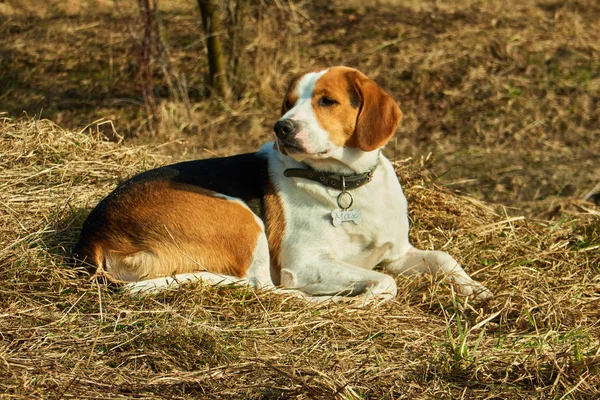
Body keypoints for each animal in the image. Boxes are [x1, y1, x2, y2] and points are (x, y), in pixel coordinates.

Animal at [74, 66, 492, 300]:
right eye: (288, 103)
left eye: (327, 101)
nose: (282, 128)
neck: (344, 185)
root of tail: (93, 236)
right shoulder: (305, 264)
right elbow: (384, 283)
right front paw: (357, 297)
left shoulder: (397, 253)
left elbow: (443, 258)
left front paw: (474, 288)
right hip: (243, 220)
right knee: (266, 290)